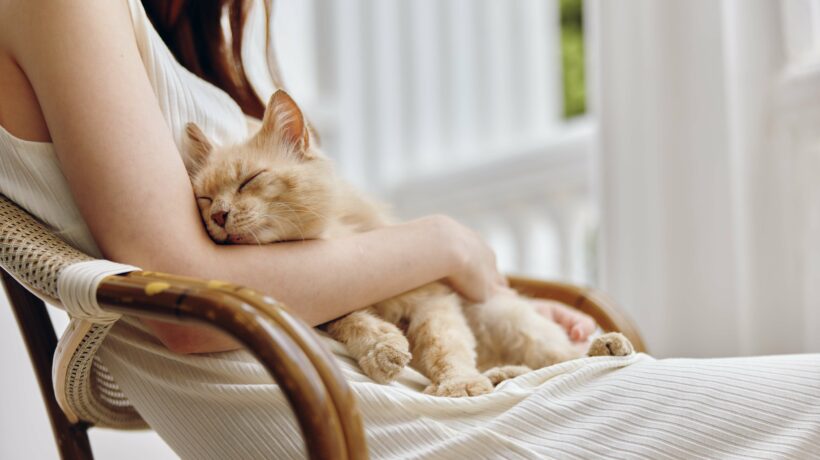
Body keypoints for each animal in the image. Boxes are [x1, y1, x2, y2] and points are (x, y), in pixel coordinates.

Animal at [184, 89, 636, 396]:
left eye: (249, 180)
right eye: (204, 199)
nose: (218, 216)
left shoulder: (433, 298)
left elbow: (443, 345)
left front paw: (457, 383)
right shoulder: (326, 309)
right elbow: (355, 320)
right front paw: (382, 348)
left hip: (501, 316)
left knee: (557, 356)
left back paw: (602, 347)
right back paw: (500, 375)